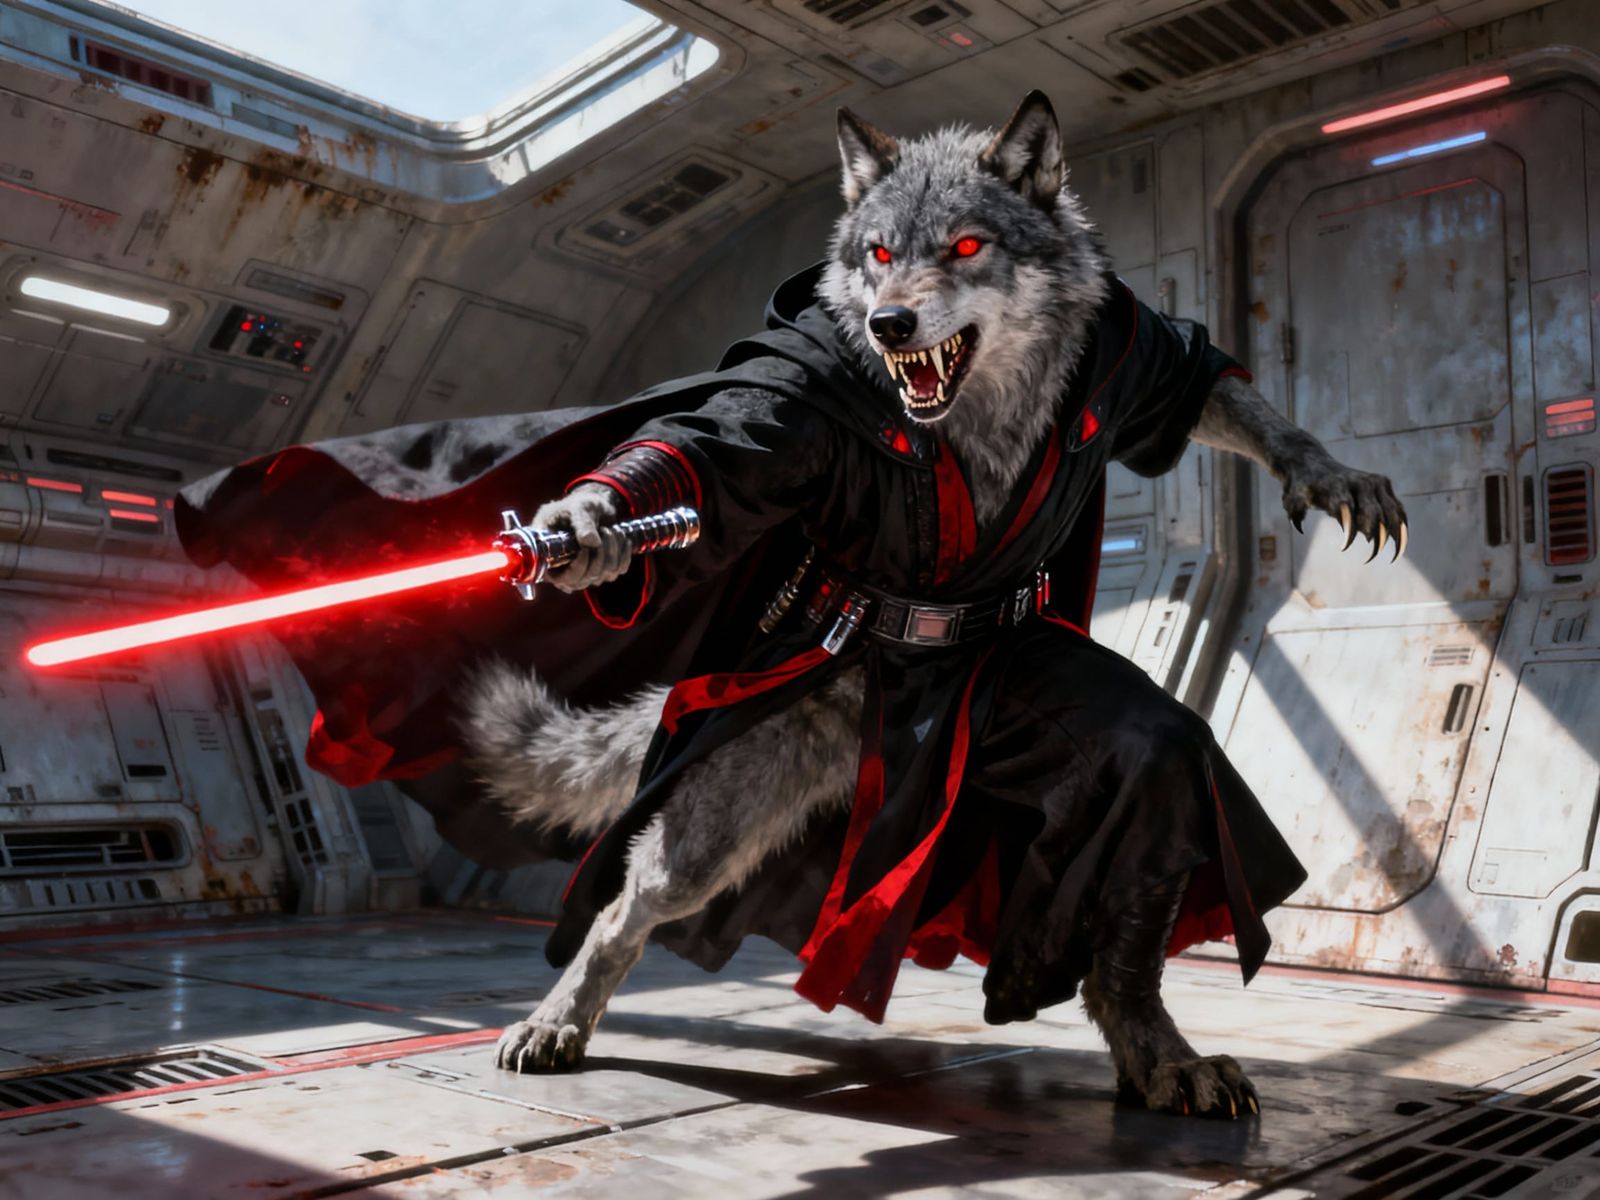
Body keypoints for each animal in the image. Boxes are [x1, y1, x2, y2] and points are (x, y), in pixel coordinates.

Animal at [460, 91, 1406, 1118]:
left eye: (963, 246)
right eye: (878, 252)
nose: (889, 323)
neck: (977, 411)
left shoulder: (1136, 353)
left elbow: (1224, 395)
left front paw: (1330, 472)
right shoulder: (785, 401)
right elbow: (704, 448)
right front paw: (590, 519)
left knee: (1138, 863)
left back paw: (1154, 1054)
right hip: (711, 833)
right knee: (625, 909)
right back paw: (558, 1021)